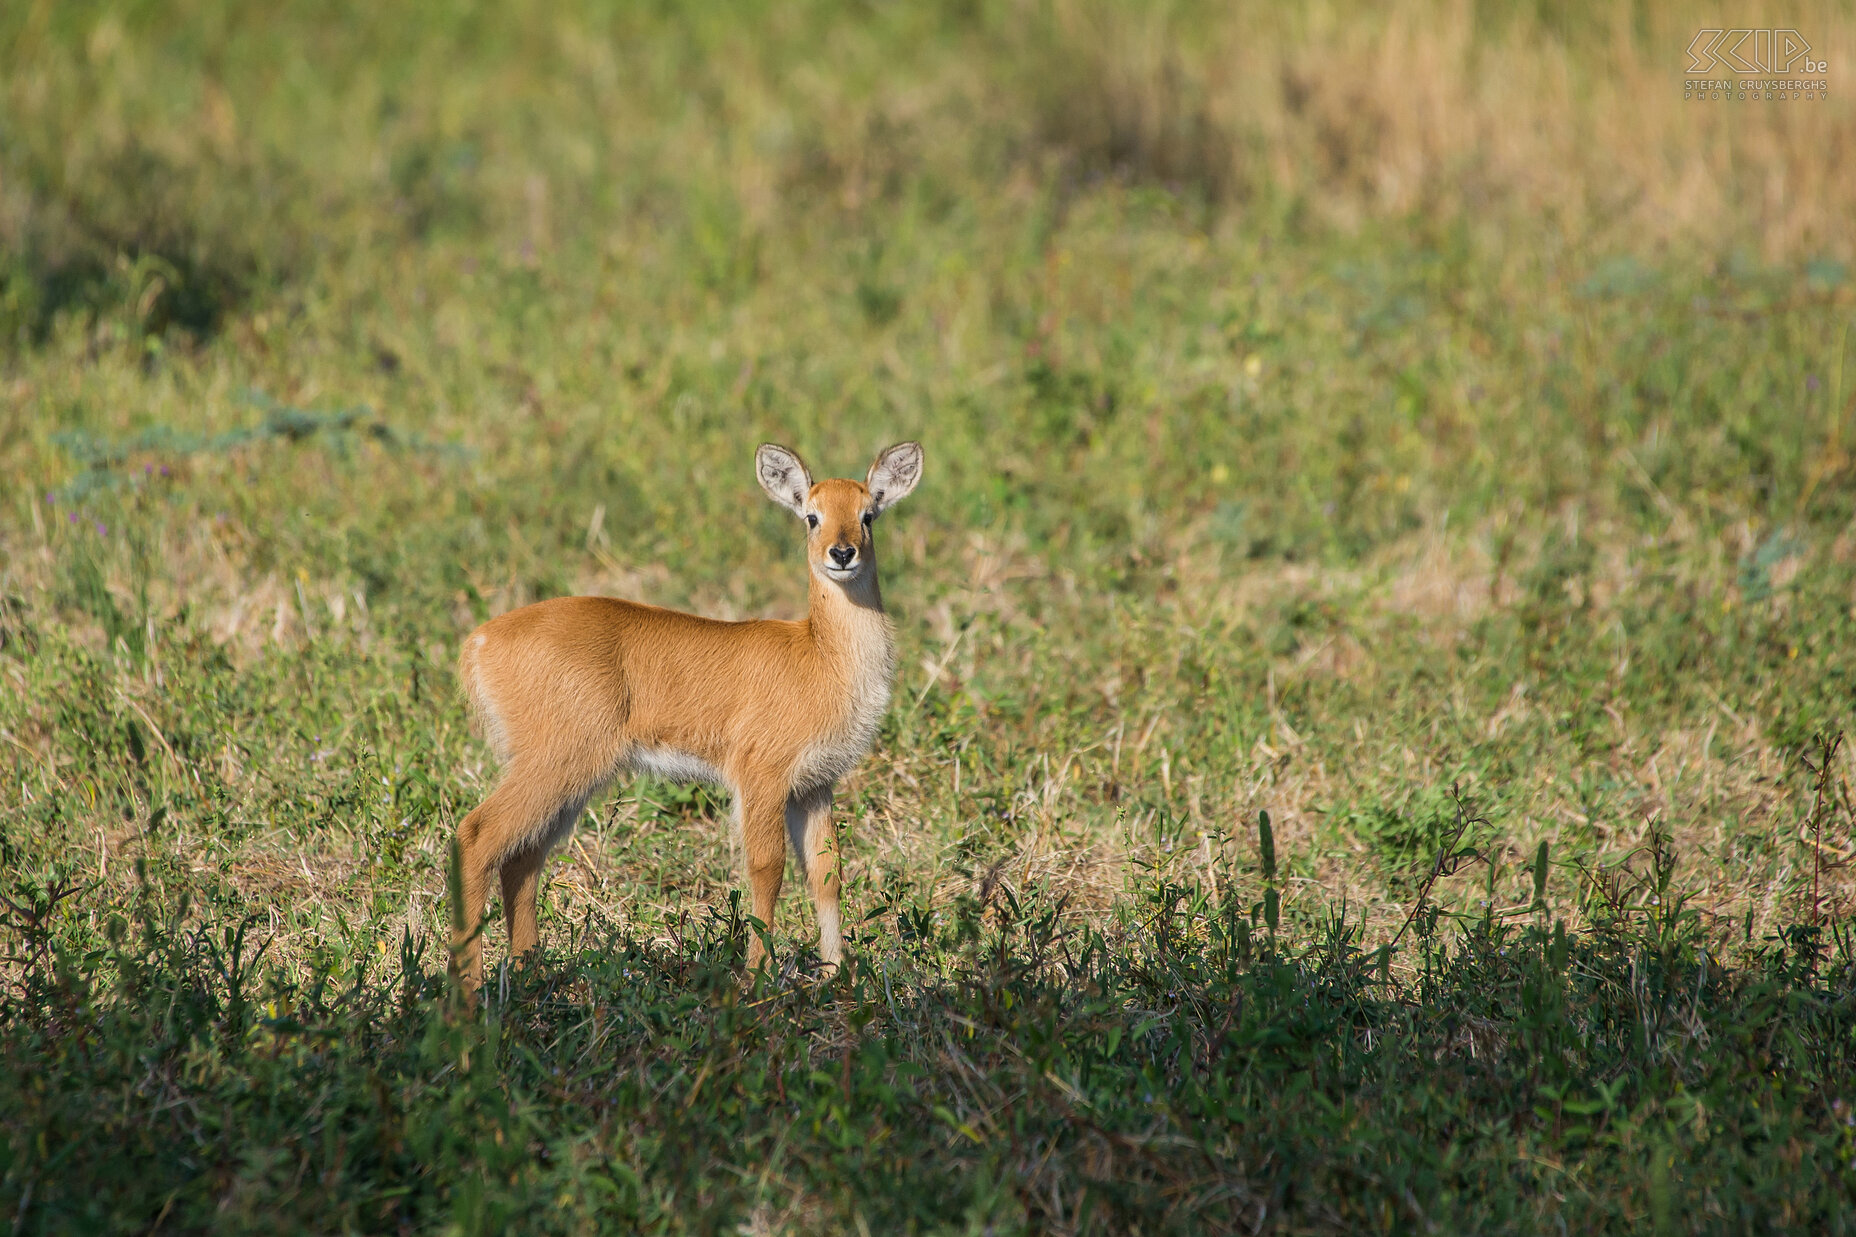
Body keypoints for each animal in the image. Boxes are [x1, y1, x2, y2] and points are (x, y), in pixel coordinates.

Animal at [452, 438, 924, 988]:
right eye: (812, 516)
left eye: (868, 514)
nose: (842, 553)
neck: (820, 657)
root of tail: (479, 641)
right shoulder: (761, 776)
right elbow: (767, 869)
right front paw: (757, 978)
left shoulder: (815, 784)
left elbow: (828, 874)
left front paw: (835, 976)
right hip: (557, 763)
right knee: (477, 836)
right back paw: (468, 989)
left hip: (566, 776)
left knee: (522, 859)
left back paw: (529, 975)